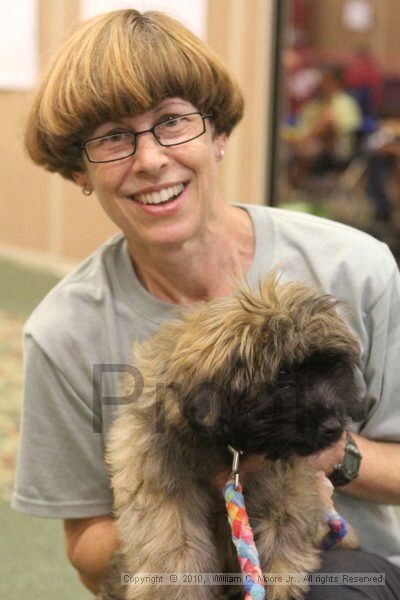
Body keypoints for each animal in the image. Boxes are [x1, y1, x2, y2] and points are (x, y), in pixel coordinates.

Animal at [101, 274, 364, 596]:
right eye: (284, 374)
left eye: (331, 369)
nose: (332, 427)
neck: (230, 445)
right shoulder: (161, 481)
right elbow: (175, 548)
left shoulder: (287, 487)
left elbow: (282, 537)